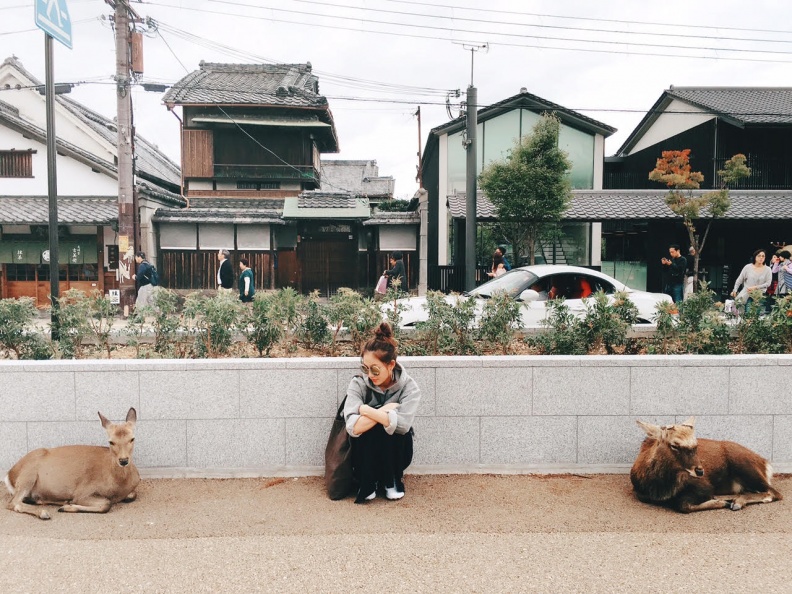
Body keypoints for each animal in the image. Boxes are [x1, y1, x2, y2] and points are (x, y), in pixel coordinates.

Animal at [3, 408, 140, 520]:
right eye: (111, 441)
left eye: (132, 439)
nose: (123, 460)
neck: (118, 485)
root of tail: (9, 475)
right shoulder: (83, 491)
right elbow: (106, 504)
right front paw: (67, 506)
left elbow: (132, 495)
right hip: (28, 474)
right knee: (13, 502)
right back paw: (44, 512)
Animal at [632, 414, 780, 512]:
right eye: (674, 445)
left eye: (696, 444)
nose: (700, 471)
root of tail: (765, 463)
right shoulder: (640, 494)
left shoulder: (705, 486)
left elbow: (684, 505)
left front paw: (721, 502)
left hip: (746, 467)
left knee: (773, 492)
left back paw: (737, 501)